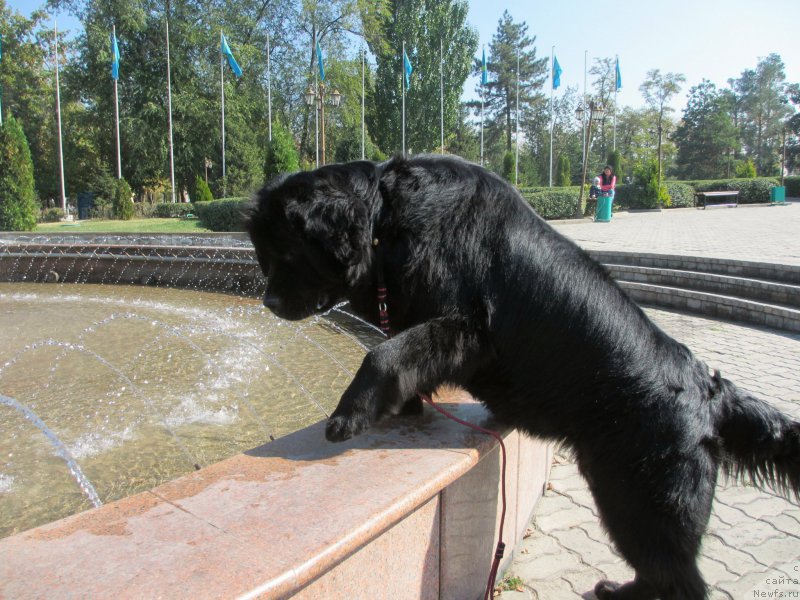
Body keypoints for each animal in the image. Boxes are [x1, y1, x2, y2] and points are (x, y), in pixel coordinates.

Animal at [245, 156, 800, 600]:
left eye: (287, 254)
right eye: (264, 257)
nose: (268, 302)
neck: (387, 220)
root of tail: (709, 393)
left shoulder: (467, 326)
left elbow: (386, 352)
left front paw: (347, 416)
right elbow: (401, 355)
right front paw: (404, 405)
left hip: (645, 499)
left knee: (679, 578)